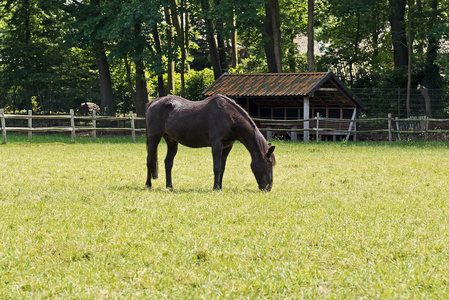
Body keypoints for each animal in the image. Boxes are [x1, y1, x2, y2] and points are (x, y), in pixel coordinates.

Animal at [145, 95, 274, 191]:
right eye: (269, 164)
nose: (268, 188)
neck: (230, 117)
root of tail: (153, 102)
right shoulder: (216, 144)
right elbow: (216, 167)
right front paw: (215, 187)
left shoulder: (227, 147)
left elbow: (222, 167)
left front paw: (220, 186)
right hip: (154, 138)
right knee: (150, 161)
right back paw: (148, 185)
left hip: (171, 141)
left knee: (168, 163)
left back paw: (169, 186)